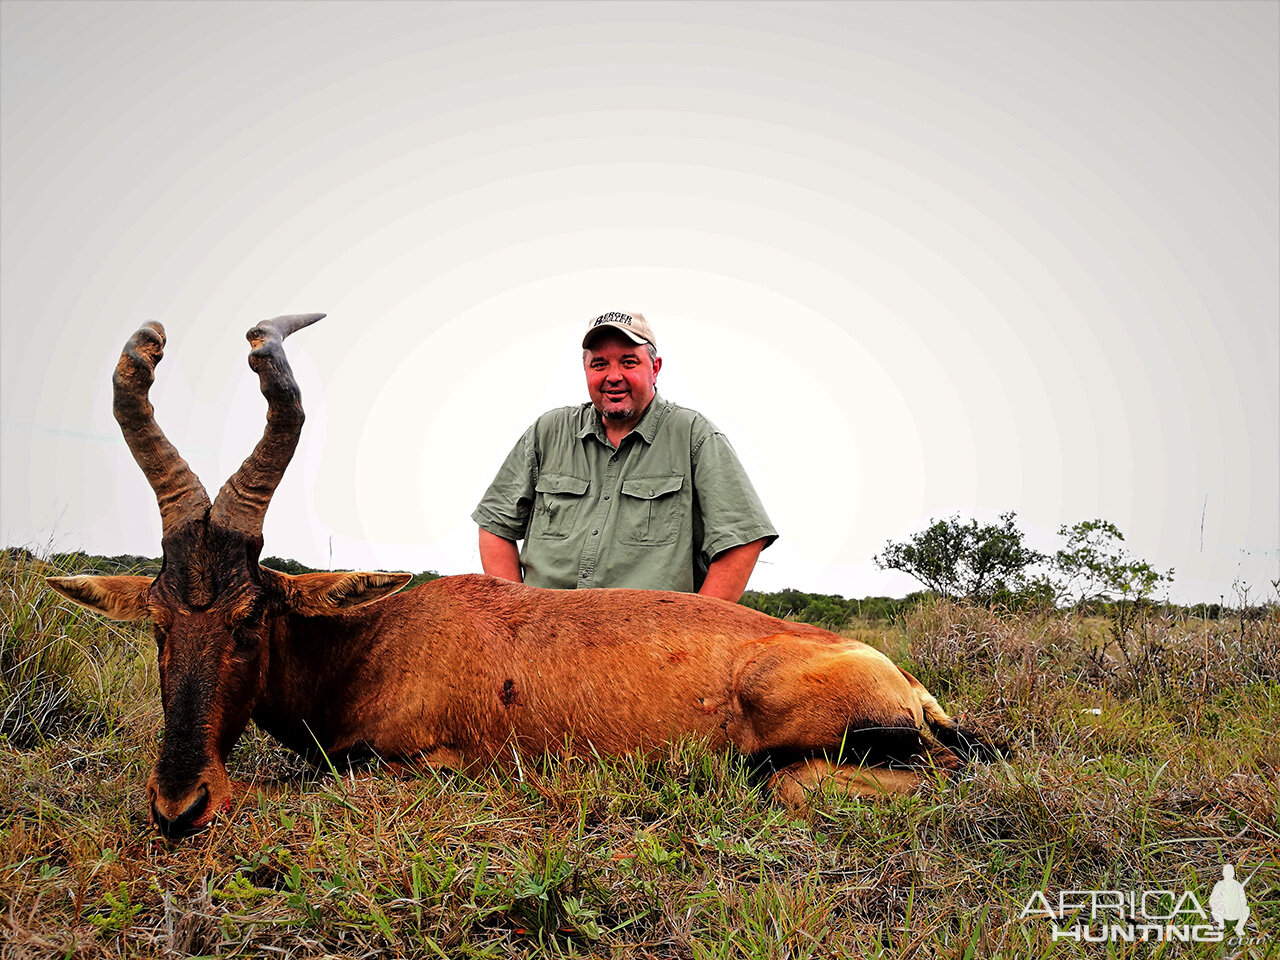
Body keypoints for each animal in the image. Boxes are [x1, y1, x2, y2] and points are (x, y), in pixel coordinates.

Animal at [47, 316, 998, 834]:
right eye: (160, 622)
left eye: (251, 619)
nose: (180, 807)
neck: (384, 633)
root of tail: (912, 685)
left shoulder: (430, 767)